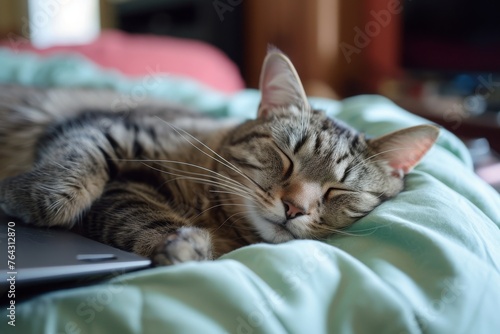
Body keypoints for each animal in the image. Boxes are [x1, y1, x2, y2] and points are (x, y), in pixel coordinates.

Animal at [0, 51, 438, 264]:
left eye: (338, 190)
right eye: (286, 157)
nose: (294, 208)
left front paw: (186, 246)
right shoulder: (113, 129)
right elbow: (87, 162)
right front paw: (38, 196)